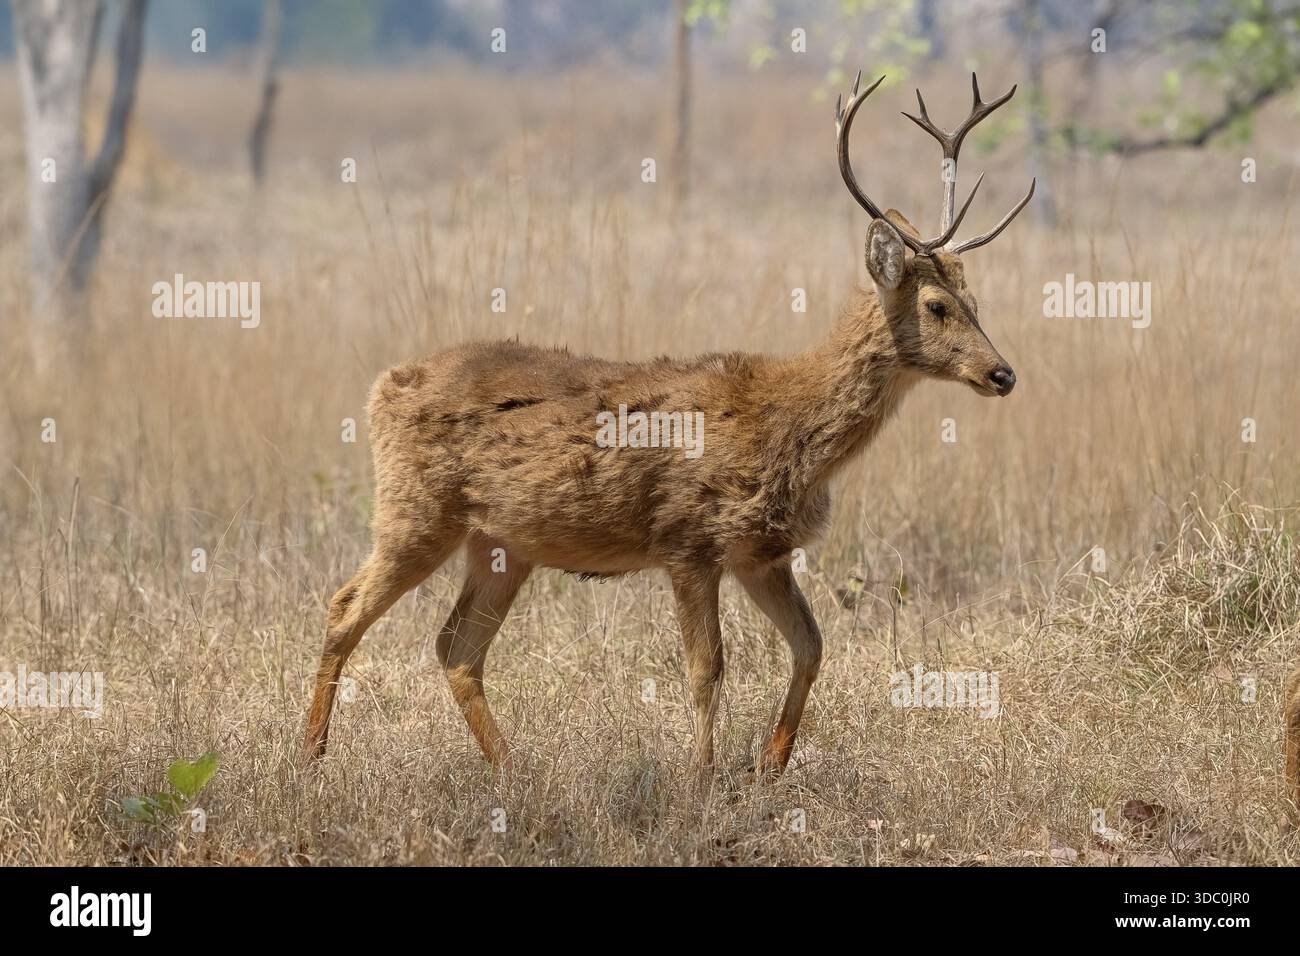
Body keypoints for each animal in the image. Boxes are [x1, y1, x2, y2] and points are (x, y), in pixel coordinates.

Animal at [302, 72, 1034, 779]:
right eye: (937, 305)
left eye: (976, 301)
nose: (1003, 374)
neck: (791, 430)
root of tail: (383, 384)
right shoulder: (689, 541)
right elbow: (708, 668)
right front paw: (699, 780)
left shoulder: (761, 552)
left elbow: (812, 645)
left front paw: (770, 765)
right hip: (416, 509)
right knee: (345, 607)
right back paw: (310, 756)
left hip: (500, 542)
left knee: (456, 645)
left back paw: (515, 771)